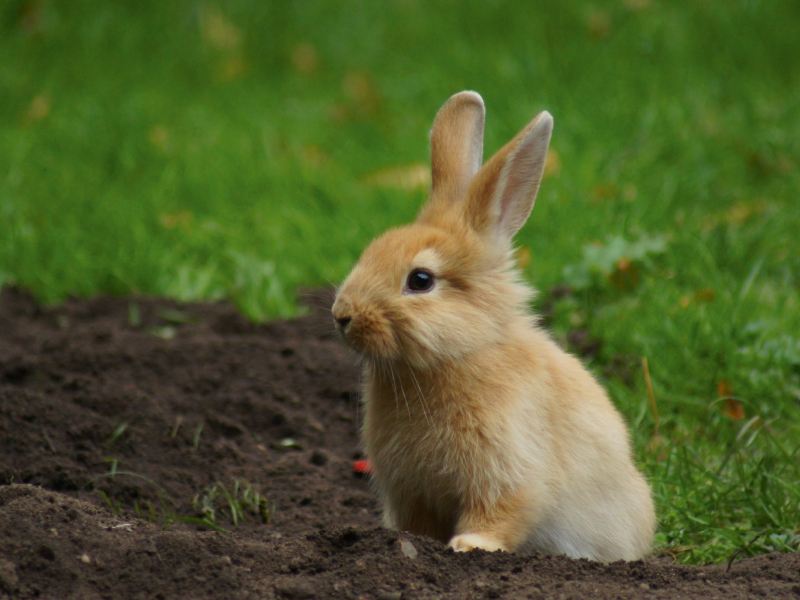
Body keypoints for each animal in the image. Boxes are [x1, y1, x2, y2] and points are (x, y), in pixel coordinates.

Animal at [332, 90, 656, 564]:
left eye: (421, 280)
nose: (342, 314)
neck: (458, 355)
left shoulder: (508, 467)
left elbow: (503, 509)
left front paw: (469, 545)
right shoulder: (412, 489)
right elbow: (419, 522)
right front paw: (412, 543)